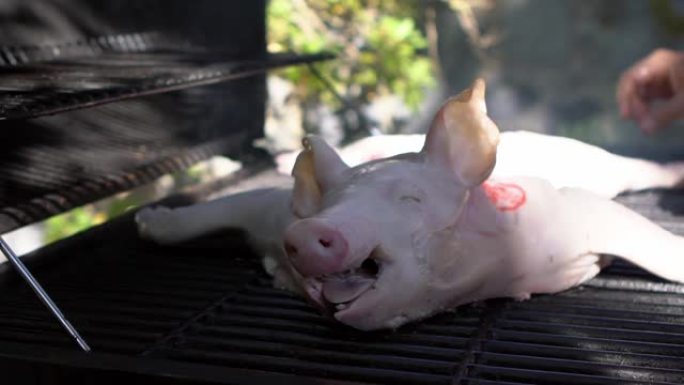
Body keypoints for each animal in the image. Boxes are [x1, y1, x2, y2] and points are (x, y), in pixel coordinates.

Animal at [136, 79, 684, 330]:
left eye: (411, 198)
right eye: (332, 199)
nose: (311, 232)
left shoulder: (565, 214)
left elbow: (631, 230)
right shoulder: (274, 213)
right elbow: (225, 208)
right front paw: (146, 222)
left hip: (599, 161)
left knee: (635, 168)